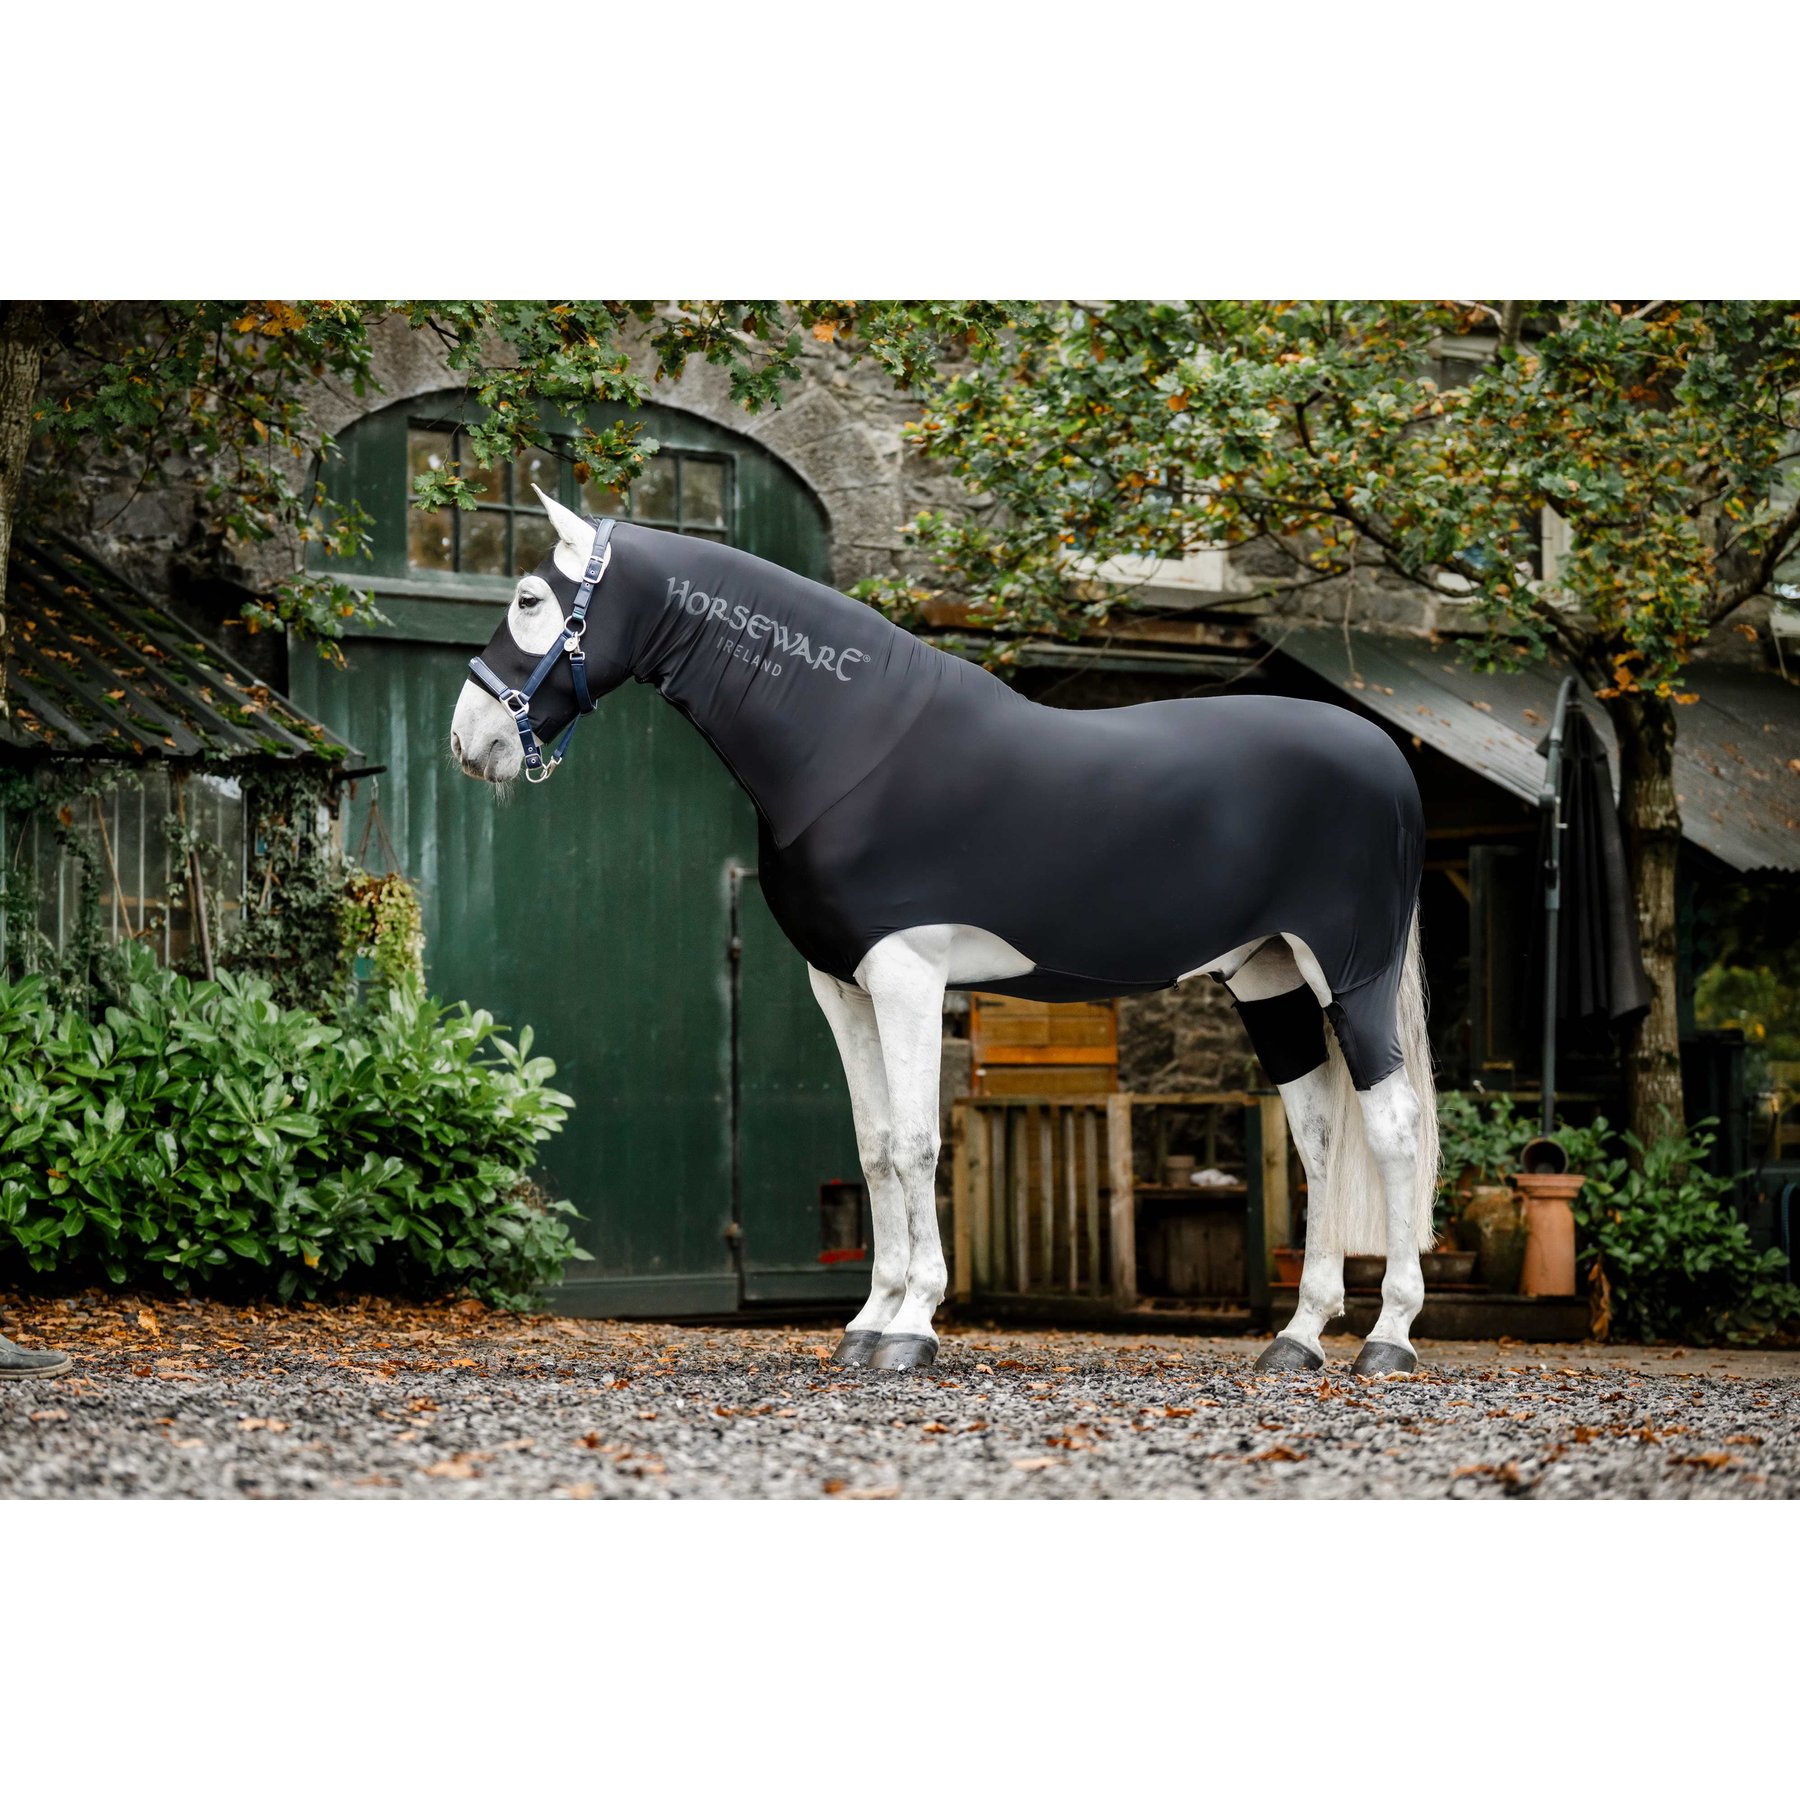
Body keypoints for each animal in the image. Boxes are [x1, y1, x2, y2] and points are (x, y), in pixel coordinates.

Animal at [451, 489, 1439, 1374]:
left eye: (531, 599)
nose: (469, 742)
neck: (847, 747)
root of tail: (1388, 760)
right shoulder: (840, 984)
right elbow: (877, 1148)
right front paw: (865, 1323)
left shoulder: (908, 974)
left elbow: (921, 1140)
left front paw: (913, 1327)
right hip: (1269, 977)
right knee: (1319, 1138)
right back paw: (1298, 1340)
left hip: (1349, 975)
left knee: (1392, 1129)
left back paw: (1387, 1340)